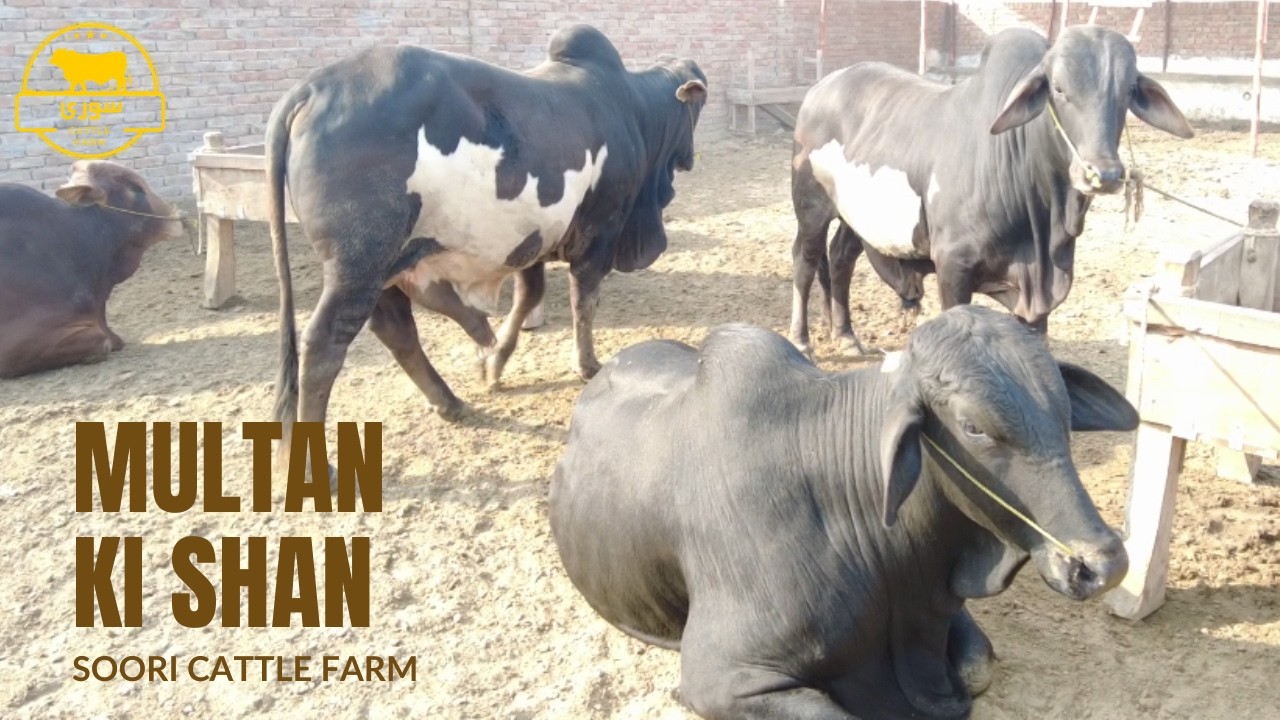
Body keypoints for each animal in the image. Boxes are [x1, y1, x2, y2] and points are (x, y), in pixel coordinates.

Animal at [265, 24, 707, 470]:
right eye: (700, 105)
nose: (689, 158)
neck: (633, 109)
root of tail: (311, 88)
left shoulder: (533, 238)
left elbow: (529, 296)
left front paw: (494, 360)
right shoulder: (600, 231)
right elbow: (583, 302)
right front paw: (586, 365)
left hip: (380, 264)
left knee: (396, 326)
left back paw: (454, 390)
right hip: (358, 262)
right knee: (324, 344)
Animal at [789, 26, 1192, 357]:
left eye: (1128, 91)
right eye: (1059, 88)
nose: (1104, 173)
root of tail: (820, 87)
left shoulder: (1039, 294)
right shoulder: (953, 264)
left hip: (855, 216)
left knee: (841, 258)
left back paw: (846, 336)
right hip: (811, 205)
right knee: (805, 262)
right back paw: (802, 340)